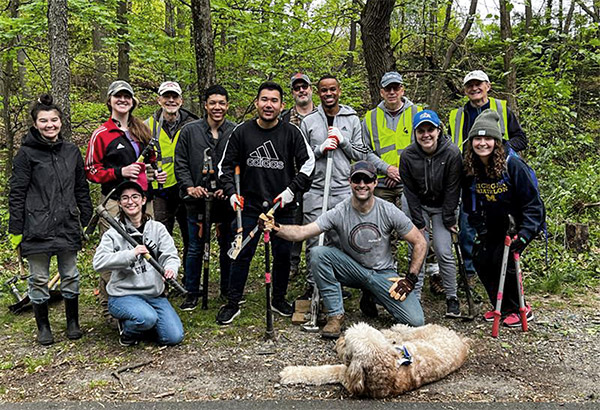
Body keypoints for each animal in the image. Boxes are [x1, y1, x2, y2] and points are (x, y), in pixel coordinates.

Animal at [280, 324, 468, 398]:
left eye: (346, 343)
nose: (339, 340)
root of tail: (460, 338)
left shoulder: (346, 376)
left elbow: (324, 371)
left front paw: (290, 373)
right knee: (398, 332)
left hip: (417, 332)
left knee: (402, 329)